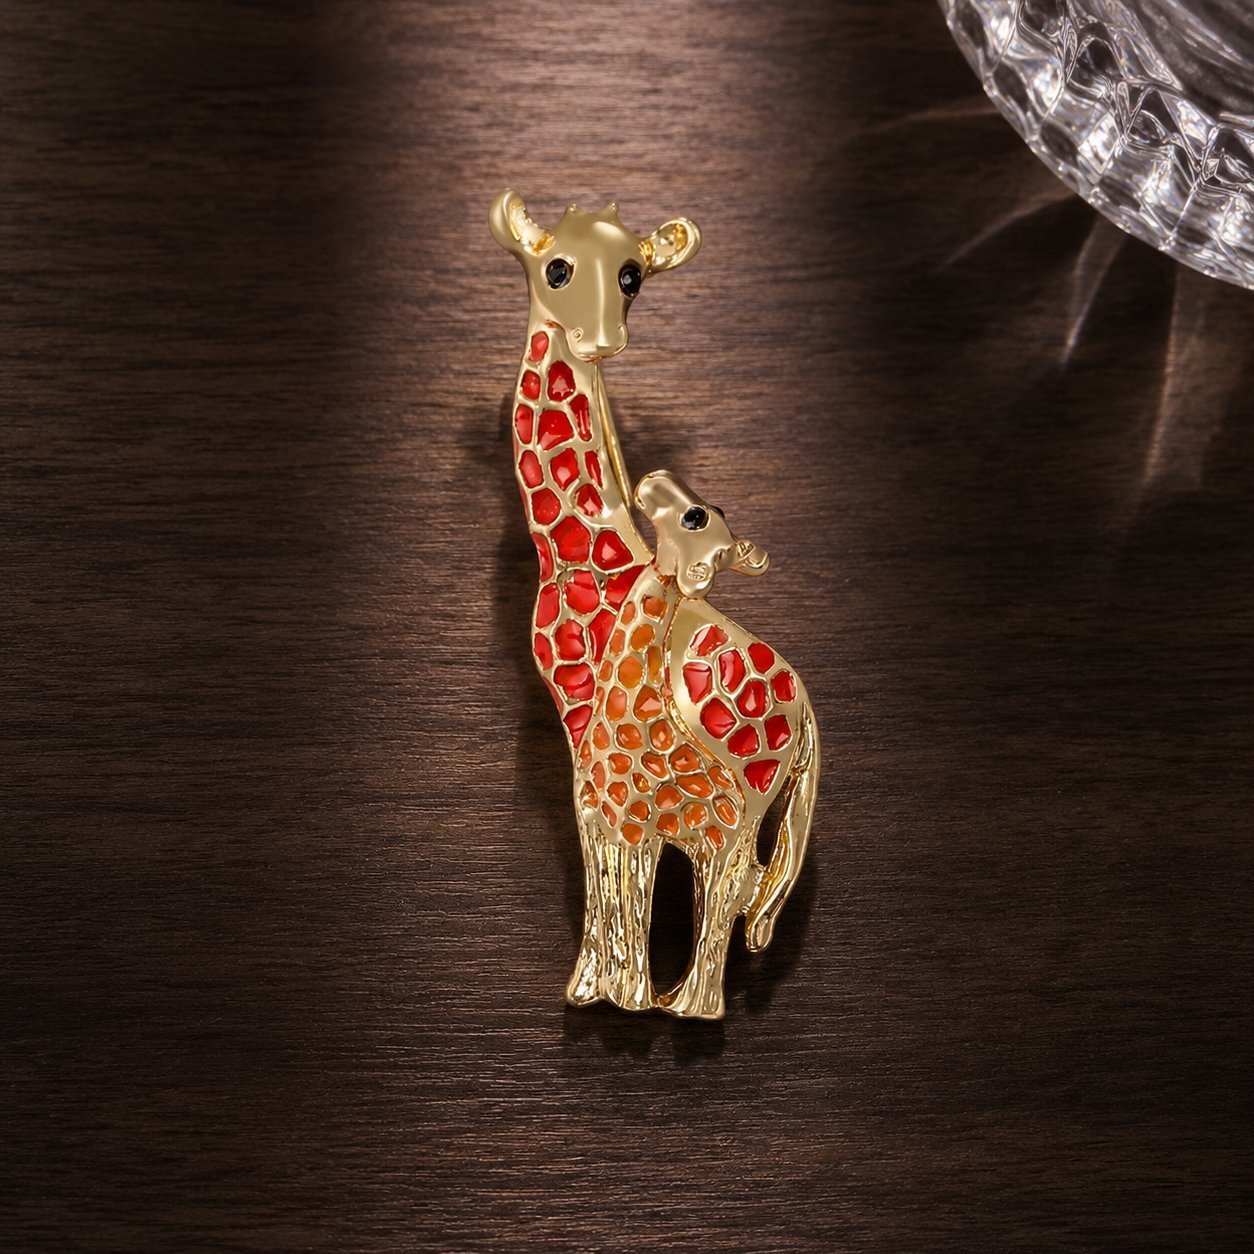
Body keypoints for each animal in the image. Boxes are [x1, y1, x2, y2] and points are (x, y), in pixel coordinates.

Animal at [571, 470, 818, 1019]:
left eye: (695, 517)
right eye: (711, 510)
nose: (654, 480)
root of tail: (808, 719)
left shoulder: (634, 831)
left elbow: (631, 913)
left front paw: (631, 1000)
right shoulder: (595, 824)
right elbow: (602, 909)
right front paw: (587, 990)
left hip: (729, 839)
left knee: (726, 905)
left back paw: (693, 1008)